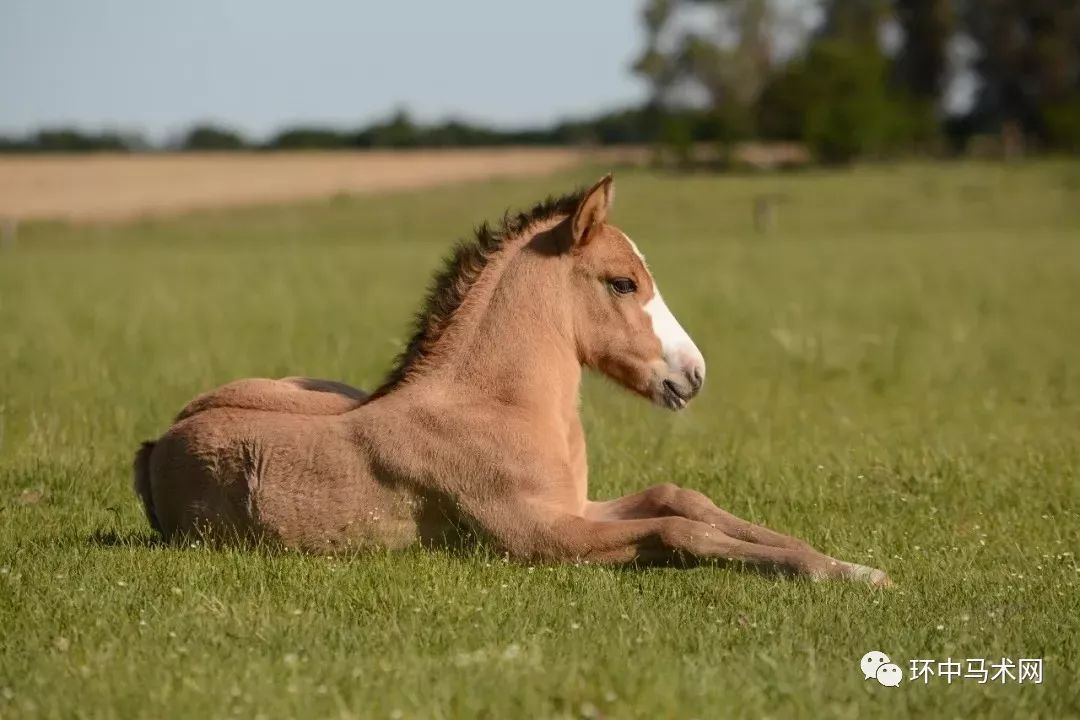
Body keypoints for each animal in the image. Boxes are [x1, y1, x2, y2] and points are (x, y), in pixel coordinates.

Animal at [135, 175, 889, 587]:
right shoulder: (540, 537)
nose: (693, 374)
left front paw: (851, 566)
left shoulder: (577, 507)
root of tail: (155, 443)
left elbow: (682, 499)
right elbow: (680, 531)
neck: (496, 406)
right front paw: (836, 573)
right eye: (622, 282)